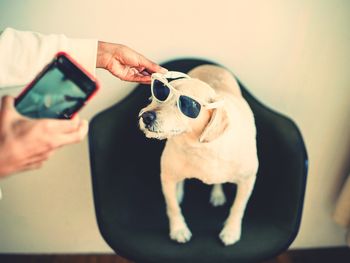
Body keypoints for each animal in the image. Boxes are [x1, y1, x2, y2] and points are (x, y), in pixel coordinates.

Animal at [139, 65, 258, 246]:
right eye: (160, 93)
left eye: (188, 105)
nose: (146, 116)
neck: (201, 148)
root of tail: (210, 65)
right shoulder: (166, 177)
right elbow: (173, 207)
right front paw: (179, 229)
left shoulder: (248, 180)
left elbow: (238, 208)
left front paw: (231, 231)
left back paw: (217, 194)